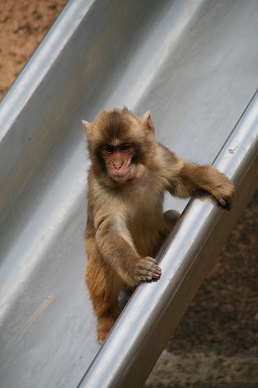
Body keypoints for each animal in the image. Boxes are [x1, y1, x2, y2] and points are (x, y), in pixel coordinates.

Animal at [81, 106, 235, 342]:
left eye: (125, 148)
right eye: (108, 150)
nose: (116, 165)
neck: (132, 182)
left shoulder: (160, 157)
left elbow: (179, 177)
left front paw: (212, 182)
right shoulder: (99, 188)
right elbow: (110, 230)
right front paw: (135, 266)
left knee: (170, 216)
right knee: (97, 249)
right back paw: (106, 317)